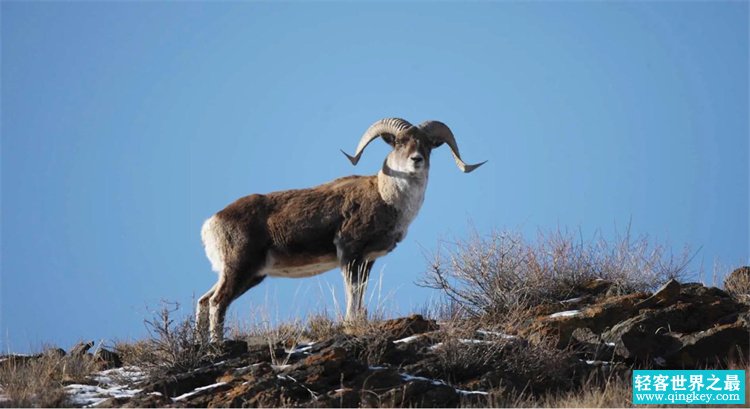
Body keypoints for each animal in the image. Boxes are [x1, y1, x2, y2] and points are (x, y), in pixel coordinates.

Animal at [197, 117, 484, 342]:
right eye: (400, 142)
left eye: (427, 145)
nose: (417, 160)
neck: (388, 198)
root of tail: (211, 223)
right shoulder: (349, 255)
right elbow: (352, 292)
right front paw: (350, 324)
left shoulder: (366, 262)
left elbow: (360, 293)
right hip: (240, 268)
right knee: (217, 302)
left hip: (248, 274)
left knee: (204, 300)